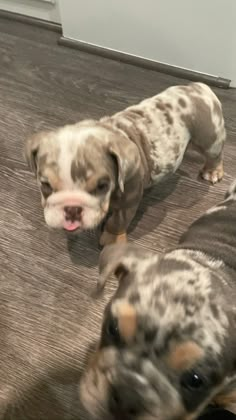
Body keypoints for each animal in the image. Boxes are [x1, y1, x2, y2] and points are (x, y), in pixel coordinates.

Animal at [24, 82, 226, 246]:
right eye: (45, 185)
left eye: (102, 186)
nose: (72, 209)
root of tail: (198, 88)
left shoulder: (128, 200)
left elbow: (117, 222)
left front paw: (111, 238)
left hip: (209, 138)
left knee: (214, 154)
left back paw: (212, 172)